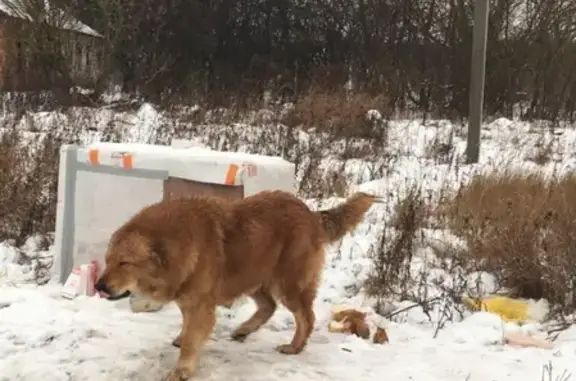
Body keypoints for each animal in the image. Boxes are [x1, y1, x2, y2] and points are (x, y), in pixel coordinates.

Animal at [94, 190, 378, 380]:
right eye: (107, 261)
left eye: (124, 263)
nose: (99, 286)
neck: (178, 244)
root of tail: (310, 214)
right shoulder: (191, 300)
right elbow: (187, 328)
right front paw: (182, 338)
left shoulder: (200, 305)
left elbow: (191, 340)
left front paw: (182, 369)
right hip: (254, 277)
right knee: (269, 307)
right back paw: (244, 329)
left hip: (288, 286)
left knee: (306, 317)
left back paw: (294, 346)